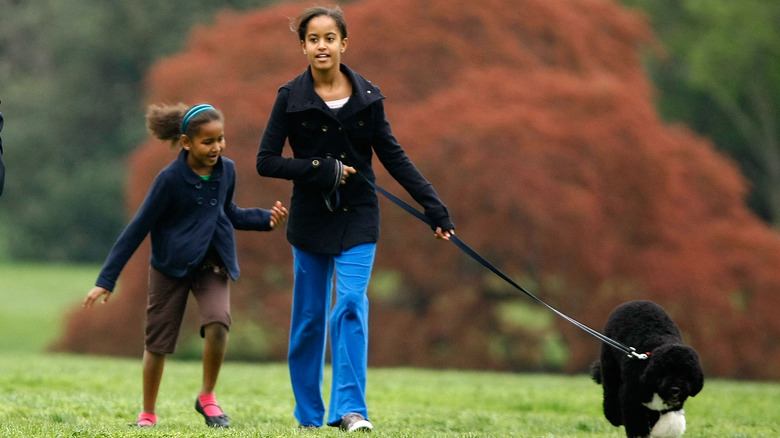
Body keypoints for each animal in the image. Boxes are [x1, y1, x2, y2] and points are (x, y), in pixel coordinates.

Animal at [592, 302, 700, 438]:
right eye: (665, 372)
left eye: (686, 374)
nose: (675, 389)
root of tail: (633, 302)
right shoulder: (630, 396)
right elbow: (636, 421)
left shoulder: (671, 405)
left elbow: (670, 419)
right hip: (610, 367)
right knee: (610, 391)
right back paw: (615, 417)